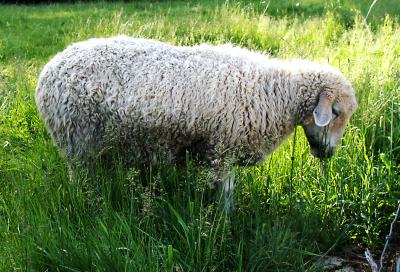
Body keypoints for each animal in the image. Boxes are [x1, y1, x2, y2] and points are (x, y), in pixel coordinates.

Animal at [34, 35, 358, 210]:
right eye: (336, 112)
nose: (328, 153)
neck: (275, 93)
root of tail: (50, 68)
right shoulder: (221, 150)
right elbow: (226, 193)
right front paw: (226, 222)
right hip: (77, 141)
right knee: (80, 181)